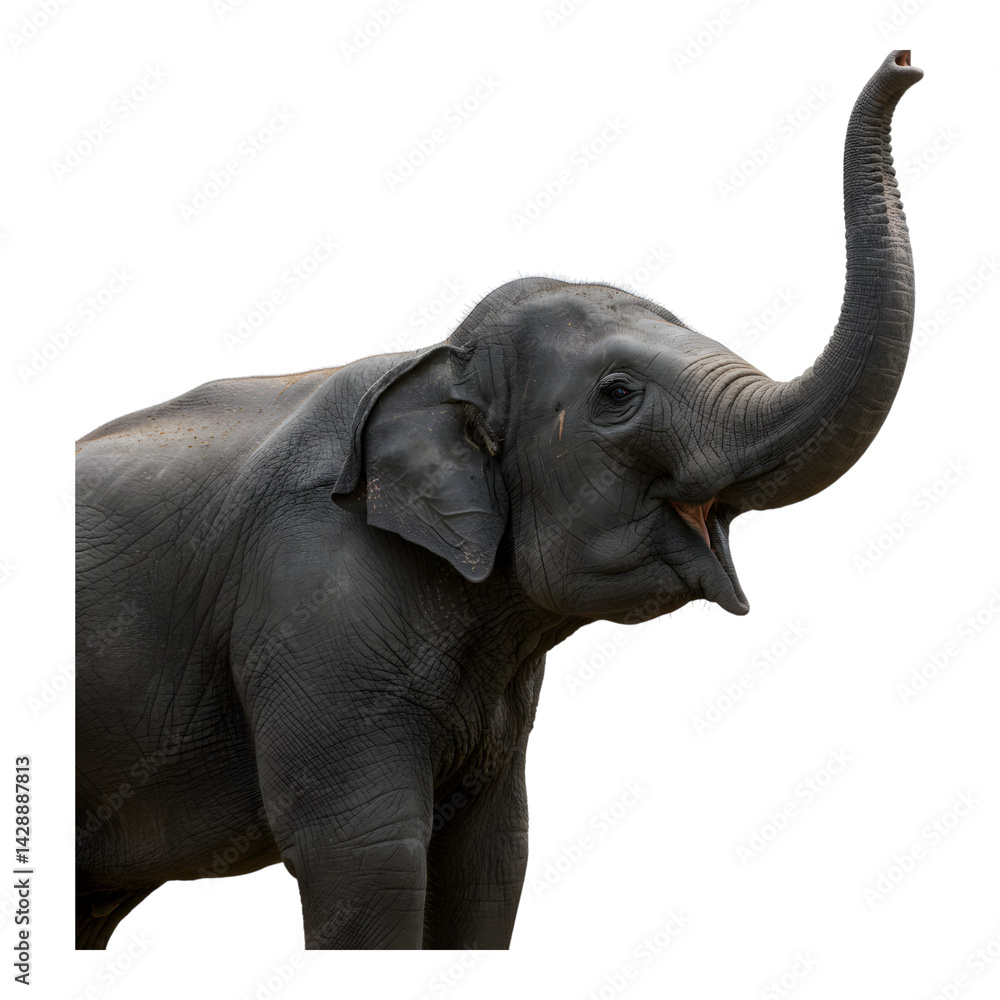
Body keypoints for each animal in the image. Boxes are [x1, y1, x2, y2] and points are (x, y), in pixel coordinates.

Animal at [76, 50, 922, 950]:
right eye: (618, 394)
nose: (904, 60)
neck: (433, 357)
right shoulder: (312, 608)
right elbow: (365, 859)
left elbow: (492, 860)